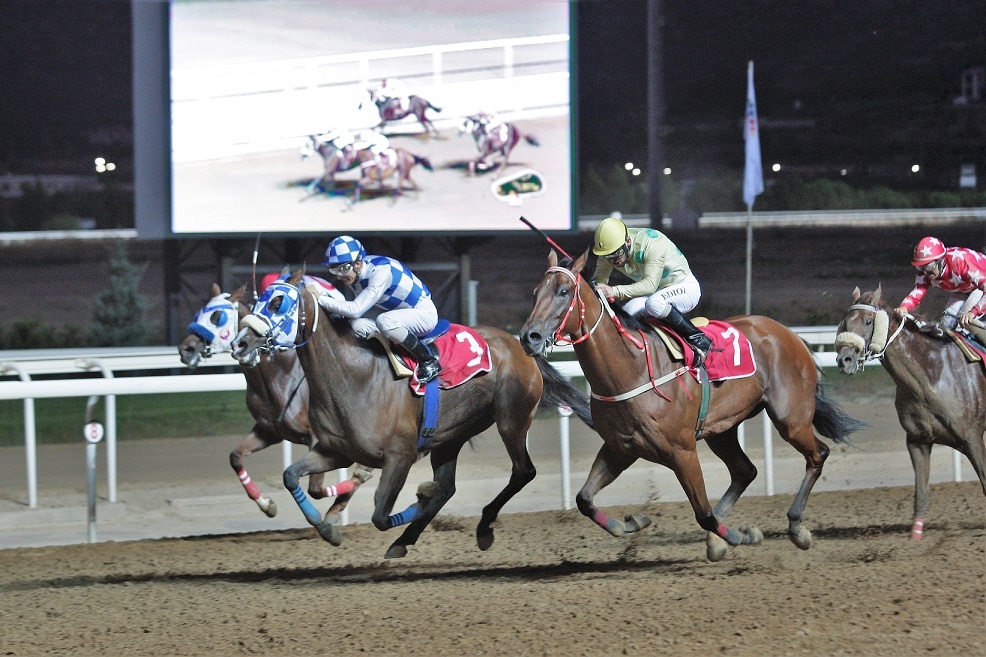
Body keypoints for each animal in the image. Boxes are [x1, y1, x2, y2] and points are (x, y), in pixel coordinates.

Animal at [177, 282, 368, 524]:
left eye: (217, 316)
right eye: (198, 313)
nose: (186, 349)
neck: (280, 377)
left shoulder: (318, 438)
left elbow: (315, 488)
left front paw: (357, 479)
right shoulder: (269, 430)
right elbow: (235, 457)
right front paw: (267, 505)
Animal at [231, 270, 592, 556]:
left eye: (277, 303)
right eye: (259, 301)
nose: (239, 344)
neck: (352, 376)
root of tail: (521, 344)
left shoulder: (399, 455)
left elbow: (380, 514)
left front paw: (418, 496)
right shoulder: (334, 451)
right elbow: (292, 476)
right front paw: (327, 529)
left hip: (511, 420)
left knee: (522, 471)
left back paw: (482, 528)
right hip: (450, 436)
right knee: (448, 487)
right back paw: (405, 538)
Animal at [520, 250, 856, 560]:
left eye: (564, 291)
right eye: (536, 292)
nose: (529, 337)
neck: (632, 367)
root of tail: (790, 334)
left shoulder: (682, 451)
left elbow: (703, 513)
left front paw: (743, 536)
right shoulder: (620, 447)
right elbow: (584, 500)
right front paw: (633, 522)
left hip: (791, 418)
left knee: (817, 454)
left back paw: (796, 527)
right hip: (721, 429)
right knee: (745, 471)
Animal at [832, 286, 984, 540]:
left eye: (867, 321)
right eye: (844, 322)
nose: (845, 359)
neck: (930, 377)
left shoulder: (972, 439)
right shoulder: (917, 441)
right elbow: (920, 491)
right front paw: (916, 536)